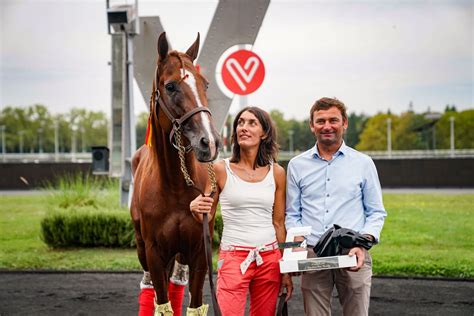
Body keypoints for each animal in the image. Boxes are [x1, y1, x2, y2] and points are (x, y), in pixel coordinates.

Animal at [131, 33, 221, 314]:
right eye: (170, 86)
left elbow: (193, 303)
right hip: (143, 249)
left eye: (205, 84)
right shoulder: (154, 253)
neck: (175, 186)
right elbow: (163, 302)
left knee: (178, 280)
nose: (209, 141)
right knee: (148, 284)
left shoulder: (199, 251)